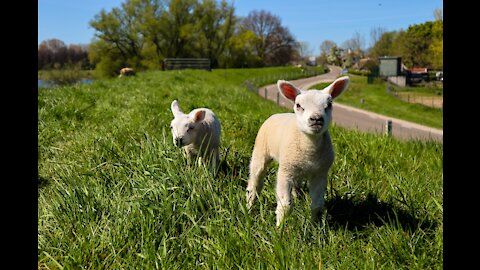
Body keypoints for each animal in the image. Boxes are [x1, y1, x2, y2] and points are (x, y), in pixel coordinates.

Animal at [248, 76, 348, 226]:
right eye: (298, 105)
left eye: (329, 104)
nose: (316, 119)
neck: (310, 151)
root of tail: (278, 114)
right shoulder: (285, 172)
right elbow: (285, 205)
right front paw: (280, 228)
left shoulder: (320, 174)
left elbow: (317, 205)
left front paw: (314, 227)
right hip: (261, 151)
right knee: (255, 182)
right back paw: (249, 207)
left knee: (297, 186)